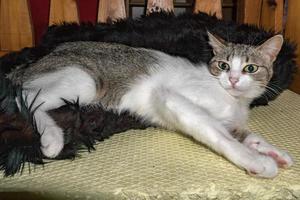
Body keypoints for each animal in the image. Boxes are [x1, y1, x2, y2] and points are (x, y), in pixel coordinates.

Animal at [7, 31, 292, 178]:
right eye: (223, 65)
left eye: (250, 68)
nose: (232, 79)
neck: (231, 99)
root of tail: (35, 61)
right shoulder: (172, 98)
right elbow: (220, 135)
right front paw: (257, 162)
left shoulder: (233, 122)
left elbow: (248, 135)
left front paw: (274, 152)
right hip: (84, 80)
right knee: (25, 96)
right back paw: (52, 138)